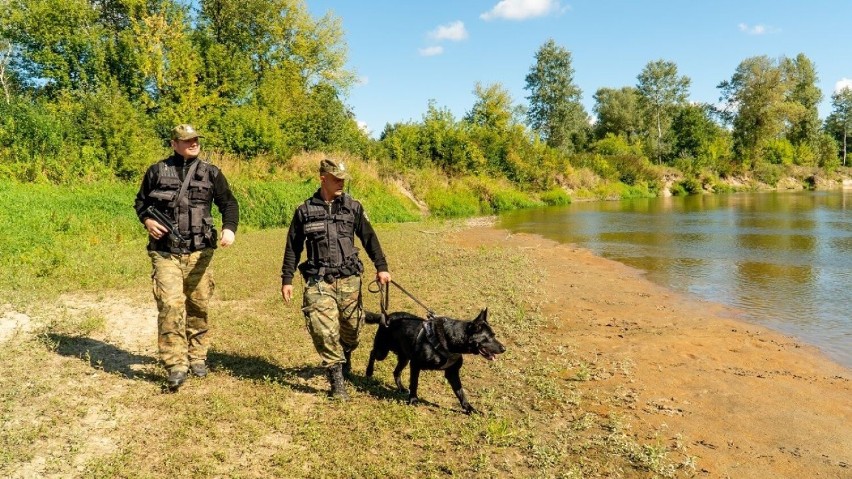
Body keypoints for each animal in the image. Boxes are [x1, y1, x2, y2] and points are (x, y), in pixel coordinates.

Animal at [362, 310, 506, 414]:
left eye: (494, 335)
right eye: (489, 337)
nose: (504, 348)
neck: (450, 340)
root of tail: (387, 316)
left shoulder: (452, 373)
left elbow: (461, 393)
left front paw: (469, 408)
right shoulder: (415, 365)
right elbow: (414, 384)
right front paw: (413, 400)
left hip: (404, 357)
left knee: (396, 372)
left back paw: (401, 388)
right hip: (383, 351)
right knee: (372, 353)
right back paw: (369, 372)